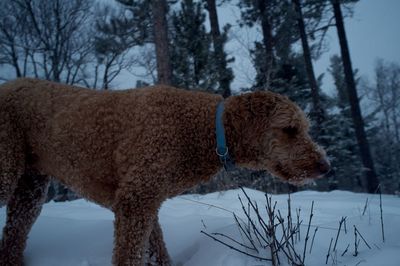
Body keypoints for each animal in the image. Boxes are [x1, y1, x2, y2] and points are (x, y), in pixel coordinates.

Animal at [0, 78, 330, 264]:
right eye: (290, 129)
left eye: (305, 128)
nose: (325, 166)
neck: (204, 130)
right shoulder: (135, 199)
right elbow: (129, 254)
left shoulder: (147, 200)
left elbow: (156, 249)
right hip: (7, 169)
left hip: (30, 187)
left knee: (14, 234)